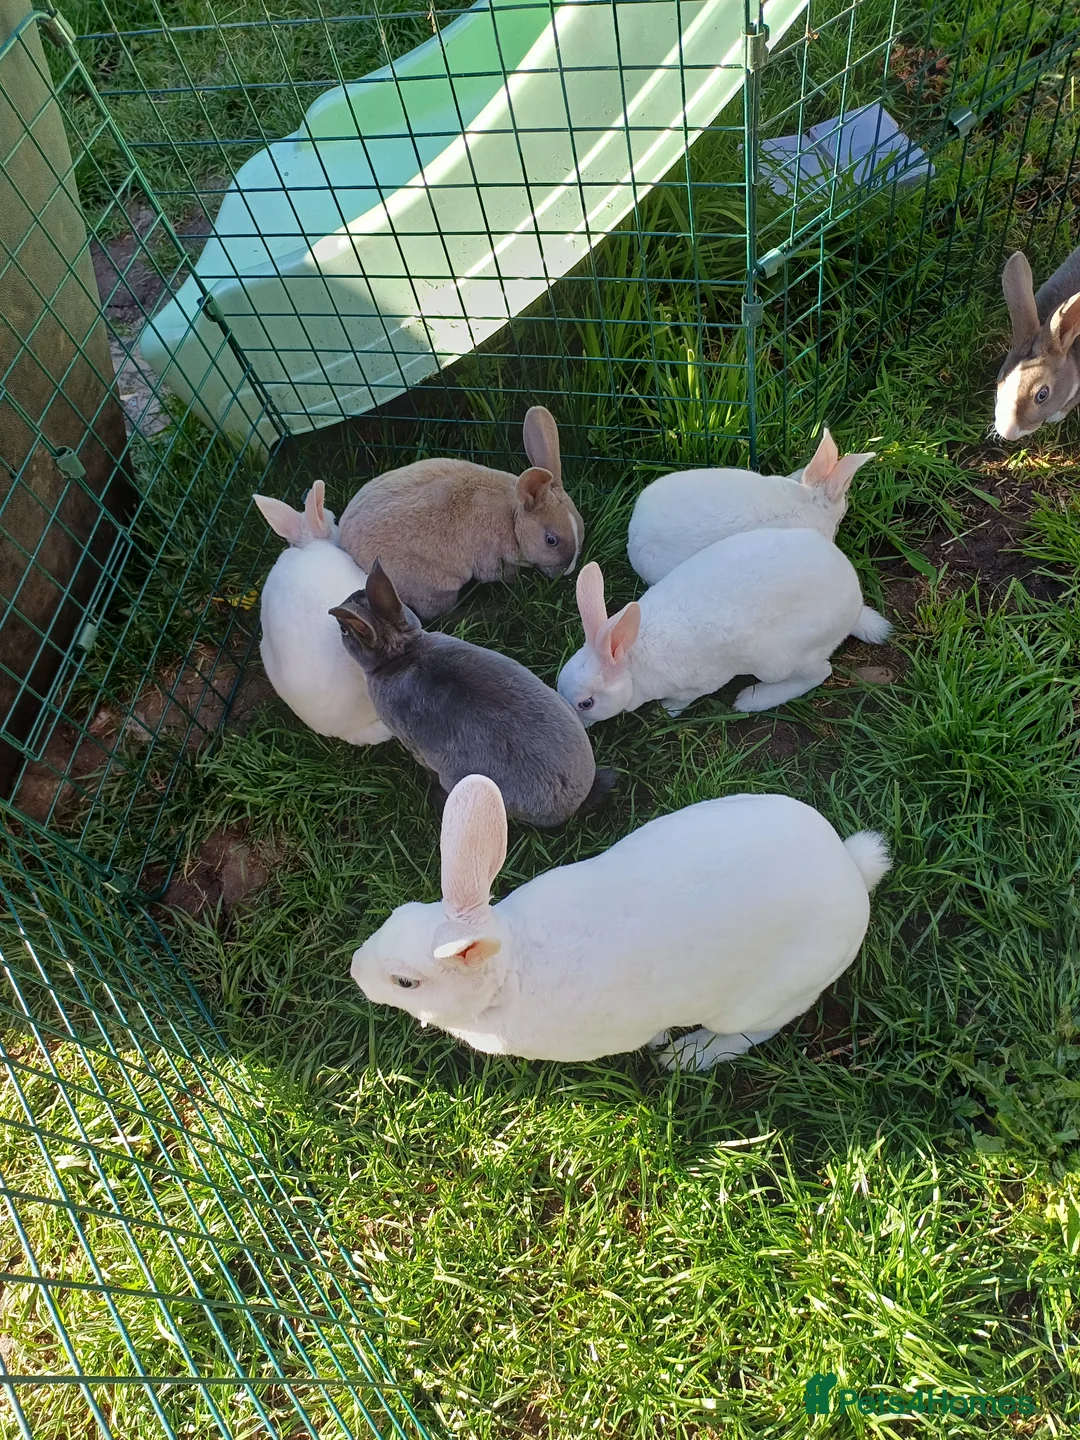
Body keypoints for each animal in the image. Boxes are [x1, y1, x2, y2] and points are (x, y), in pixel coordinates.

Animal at [336, 407, 583, 620]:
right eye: (551, 540)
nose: (568, 572)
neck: (513, 517)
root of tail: (347, 550)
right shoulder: (495, 561)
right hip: (437, 587)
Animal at [350, 773, 890, 1071]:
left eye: (405, 982)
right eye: (396, 914)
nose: (354, 969)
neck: (510, 970)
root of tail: (850, 870)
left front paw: (660, 1044)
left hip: (765, 999)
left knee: (755, 1031)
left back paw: (685, 1057)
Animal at [557, 529, 891, 725]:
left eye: (586, 703)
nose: (579, 725)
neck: (632, 662)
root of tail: (855, 605)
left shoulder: (698, 685)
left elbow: (683, 700)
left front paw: (667, 710)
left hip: (781, 660)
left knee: (819, 673)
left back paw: (751, 700)